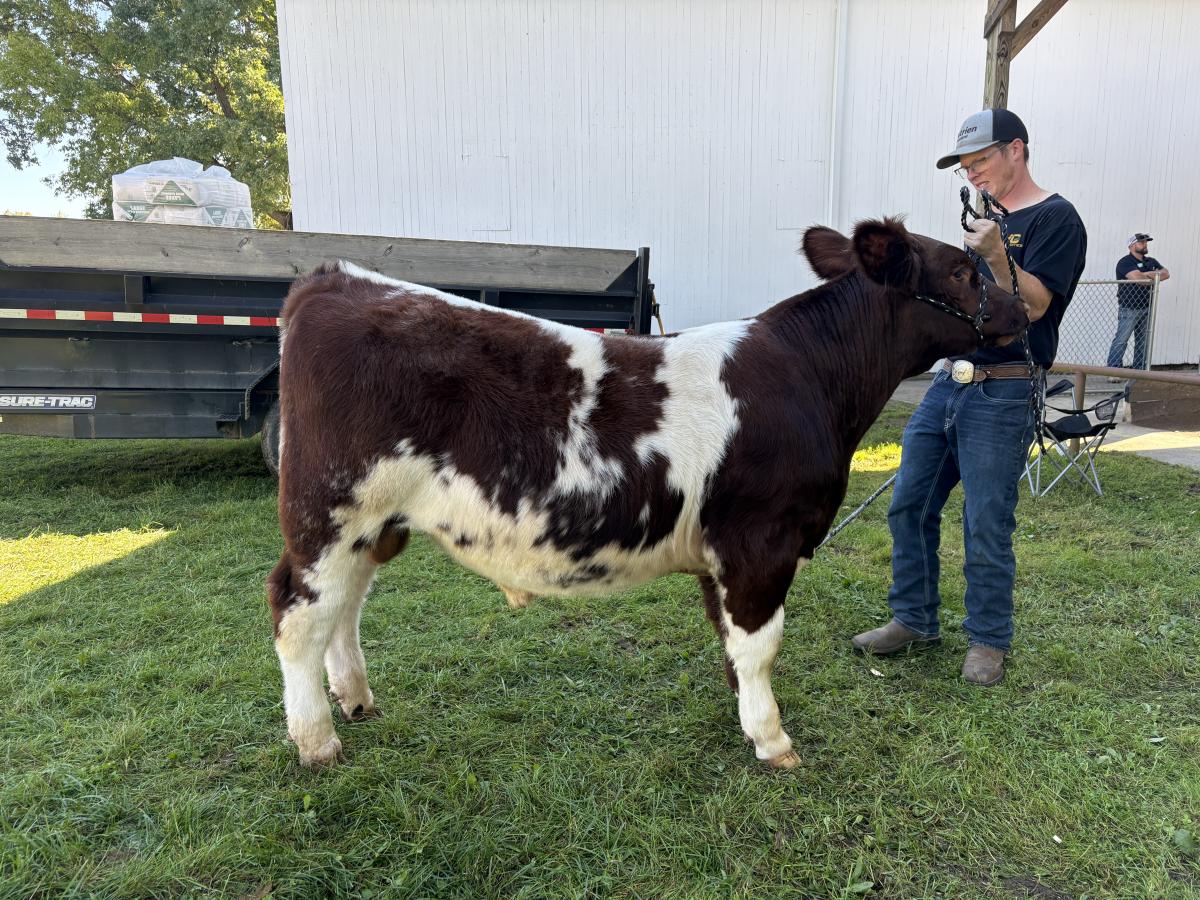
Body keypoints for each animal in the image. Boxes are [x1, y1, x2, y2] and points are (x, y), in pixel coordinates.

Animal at [267, 217, 1029, 769]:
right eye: (963, 270)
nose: (1025, 309)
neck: (811, 378)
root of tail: (335, 279)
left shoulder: (723, 552)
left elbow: (731, 642)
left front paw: (747, 721)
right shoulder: (761, 540)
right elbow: (761, 644)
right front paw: (773, 741)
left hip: (372, 524)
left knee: (345, 609)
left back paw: (357, 700)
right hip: (329, 511)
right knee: (300, 612)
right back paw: (317, 741)